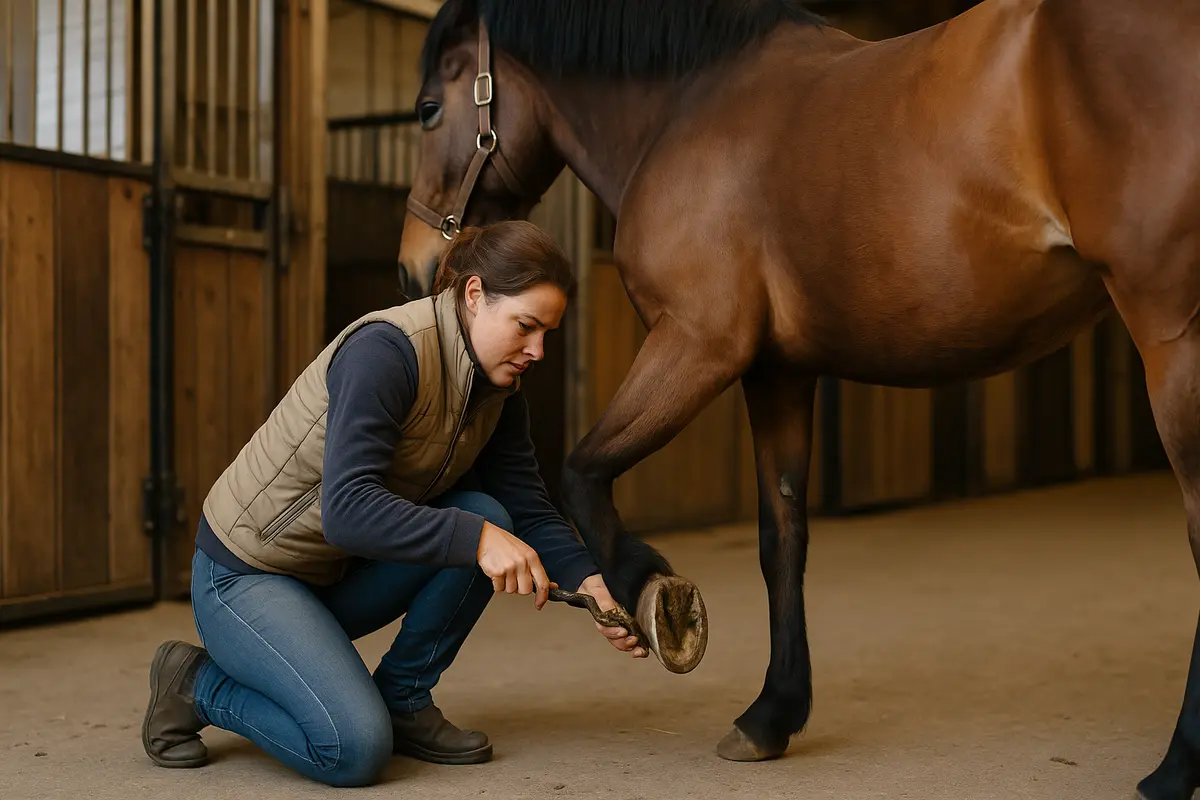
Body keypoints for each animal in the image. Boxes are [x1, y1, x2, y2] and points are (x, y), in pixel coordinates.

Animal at [394, 1, 1200, 797]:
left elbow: (582, 472)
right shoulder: (777, 372)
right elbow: (781, 537)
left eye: (429, 109)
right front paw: (772, 713)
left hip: (1170, 333)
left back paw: (1171, 770)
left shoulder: (699, 342)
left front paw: (655, 595)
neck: (686, 107)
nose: (415, 268)